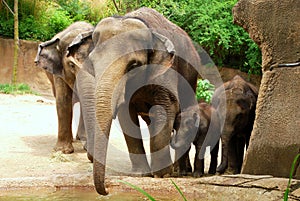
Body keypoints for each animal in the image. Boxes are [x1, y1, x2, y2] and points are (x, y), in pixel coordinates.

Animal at [88, 7, 203, 195]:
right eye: (91, 63)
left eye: (133, 66)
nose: (107, 190)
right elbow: (126, 116)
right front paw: (141, 174)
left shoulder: (167, 70)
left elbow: (167, 107)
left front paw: (162, 174)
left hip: (191, 77)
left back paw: (182, 171)